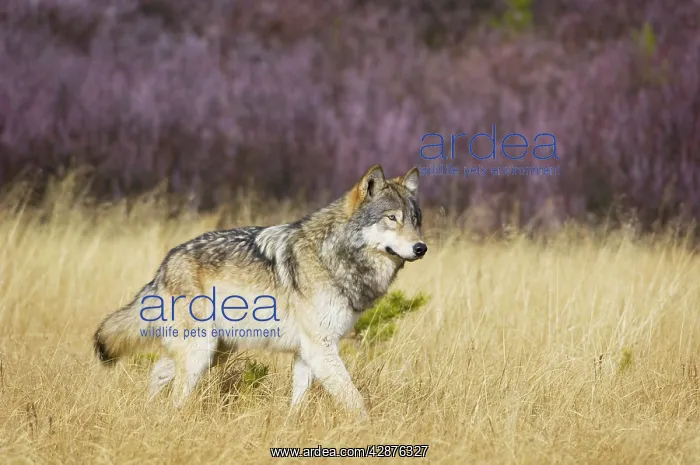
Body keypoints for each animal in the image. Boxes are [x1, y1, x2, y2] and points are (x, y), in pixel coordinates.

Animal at [93, 164, 427, 419]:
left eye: (415, 220)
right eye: (391, 218)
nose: (421, 248)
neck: (332, 255)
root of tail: (165, 264)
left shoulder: (308, 351)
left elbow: (299, 399)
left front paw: (290, 427)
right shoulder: (321, 347)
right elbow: (355, 399)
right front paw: (369, 429)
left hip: (214, 351)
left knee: (159, 371)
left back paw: (148, 413)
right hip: (202, 350)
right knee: (173, 388)